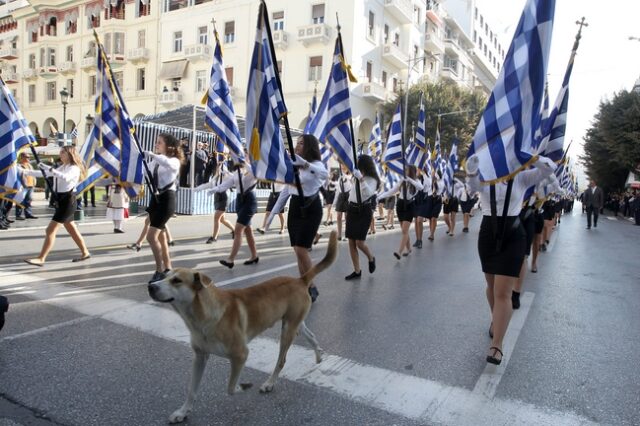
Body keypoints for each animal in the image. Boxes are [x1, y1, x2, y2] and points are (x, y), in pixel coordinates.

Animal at [148, 230, 338, 422]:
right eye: (164, 276)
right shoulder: (200, 357)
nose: (151, 286)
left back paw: (269, 383)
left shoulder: (240, 355)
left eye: (177, 280)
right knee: (311, 336)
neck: (202, 317)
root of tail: (300, 279)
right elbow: (191, 389)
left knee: (281, 361)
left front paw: (243, 386)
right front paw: (183, 412)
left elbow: (230, 387)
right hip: (295, 323)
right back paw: (318, 356)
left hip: (287, 331)